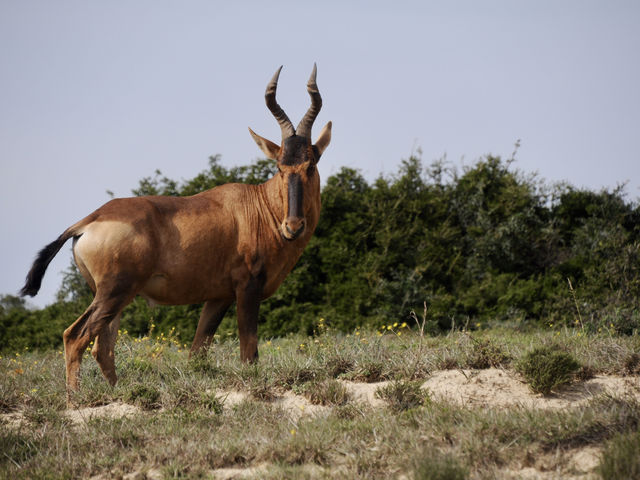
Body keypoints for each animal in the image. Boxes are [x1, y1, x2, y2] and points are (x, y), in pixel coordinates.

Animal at [21, 64, 330, 394]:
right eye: (280, 167)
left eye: (310, 165)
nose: (293, 226)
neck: (259, 205)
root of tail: (88, 220)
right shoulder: (247, 288)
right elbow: (249, 353)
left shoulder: (218, 297)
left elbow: (197, 352)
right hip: (114, 292)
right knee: (75, 337)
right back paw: (75, 399)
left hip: (112, 296)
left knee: (103, 347)